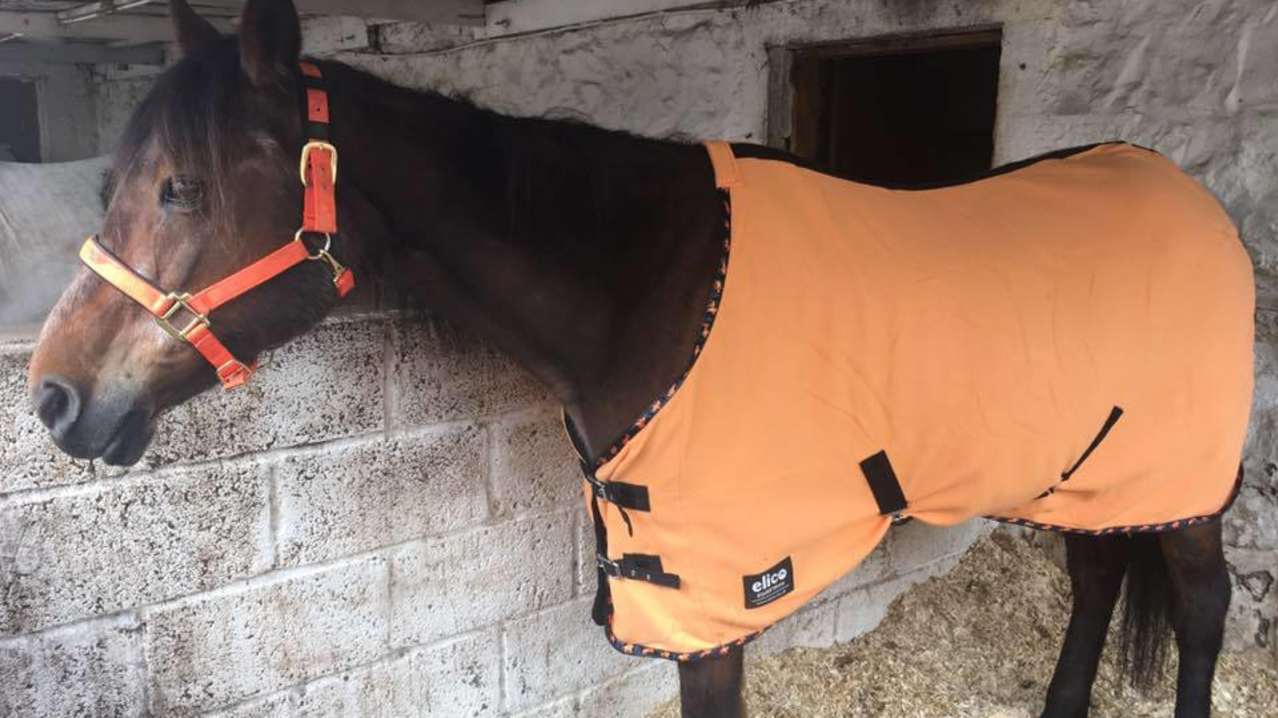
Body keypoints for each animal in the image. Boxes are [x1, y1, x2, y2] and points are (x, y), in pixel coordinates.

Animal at [25, 2, 1247, 717]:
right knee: (1096, 580)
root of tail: (1196, 205)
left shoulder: (717, 594)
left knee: (1200, 608)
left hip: (1180, 482)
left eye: (182, 187)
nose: (53, 398)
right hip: (1082, 471)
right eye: (110, 185)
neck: (646, 287)